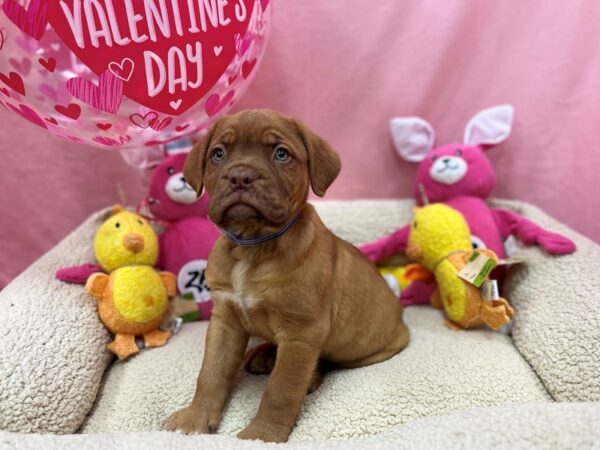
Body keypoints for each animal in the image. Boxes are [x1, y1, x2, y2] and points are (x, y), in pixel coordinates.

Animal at [163, 110, 408, 442]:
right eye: (218, 153)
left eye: (281, 153)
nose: (241, 177)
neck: (253, 247)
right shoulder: (225, 319)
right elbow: (210, 373)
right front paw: (194, 419)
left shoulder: (302, 333)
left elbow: (281, 389)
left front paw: (261, 435)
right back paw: (264, 353)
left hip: (363, 352)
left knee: (324, 362)